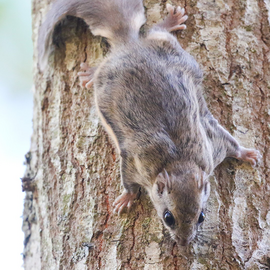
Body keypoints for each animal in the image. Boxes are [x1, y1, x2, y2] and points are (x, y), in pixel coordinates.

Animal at [37, 0, 260, 246]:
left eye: (201, 216)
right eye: (168, 217)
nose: (184, 243)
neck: (179, 162)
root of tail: (129, 45)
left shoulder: (213, 146)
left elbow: (230, 143)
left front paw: (247, 154)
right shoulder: (136, 160)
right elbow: (128, 180)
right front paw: (127, 197)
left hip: (169, 49)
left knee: (156, 32)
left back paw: (170, 22)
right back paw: (93, 72)